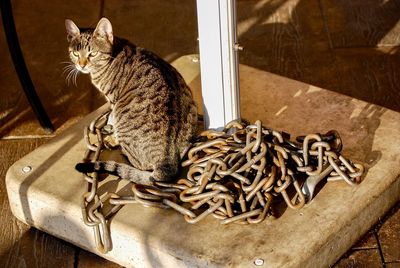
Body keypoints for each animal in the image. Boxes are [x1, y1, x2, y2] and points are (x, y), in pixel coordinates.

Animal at [67, 16, 198, 184]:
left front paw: (112, 135)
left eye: (93, 53)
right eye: (75, 54)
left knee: (140, 166)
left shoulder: (113, 100)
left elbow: (113, 120)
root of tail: (167, 163)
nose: (81, 65)